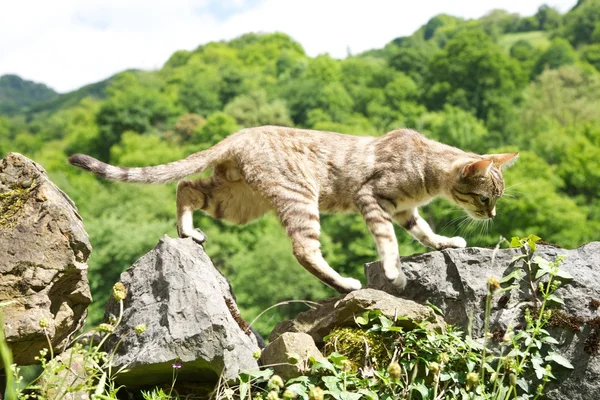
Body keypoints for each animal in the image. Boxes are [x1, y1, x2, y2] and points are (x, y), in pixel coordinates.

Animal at [68, 127, 516, 294]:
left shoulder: (405, 210)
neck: (427, 169)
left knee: (186, 187)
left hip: (238, 200)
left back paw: (188, 232)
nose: (493, 216)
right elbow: (388, 239)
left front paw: (446, 242)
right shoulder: (371, 199)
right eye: (485, 198)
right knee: (304, 250)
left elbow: (424, 231)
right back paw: (345, 284)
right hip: (299, 197)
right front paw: (393, 273)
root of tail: (239, 134)